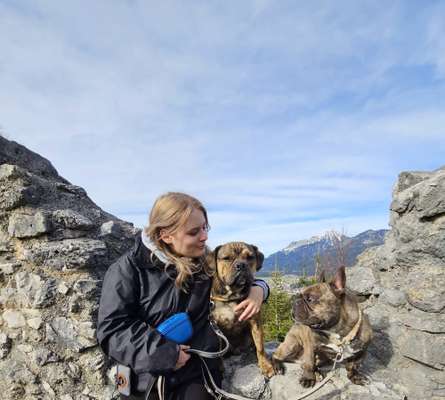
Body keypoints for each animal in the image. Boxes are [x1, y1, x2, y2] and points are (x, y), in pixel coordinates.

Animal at [207, 242, 274, 376]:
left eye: (250, 257)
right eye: (226, 258)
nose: (241, 265)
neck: (232, 294)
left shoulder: (255, 322)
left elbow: (260, 346)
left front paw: (265, 365)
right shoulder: (215, 325)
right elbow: (219, 347)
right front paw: (220, 367)